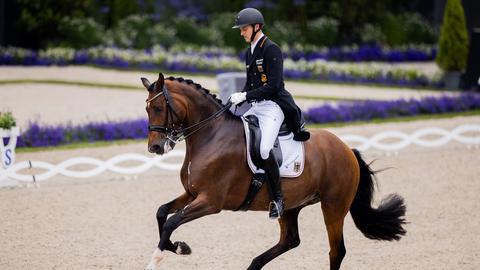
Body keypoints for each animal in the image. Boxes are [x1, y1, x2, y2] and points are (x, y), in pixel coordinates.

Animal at [142, 73, 404, 268]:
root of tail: (346, 149)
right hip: (291, 205)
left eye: (158, 107)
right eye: (147, 109)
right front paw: (180, 247)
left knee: (336, 251)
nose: (155, 147)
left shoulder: (210, 201)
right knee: (290, 240)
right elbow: (161, 212)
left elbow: (171, 222)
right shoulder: (192, 194)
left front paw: (157, 259)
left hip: (334, 206)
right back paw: (254, 265)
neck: (211, 136)